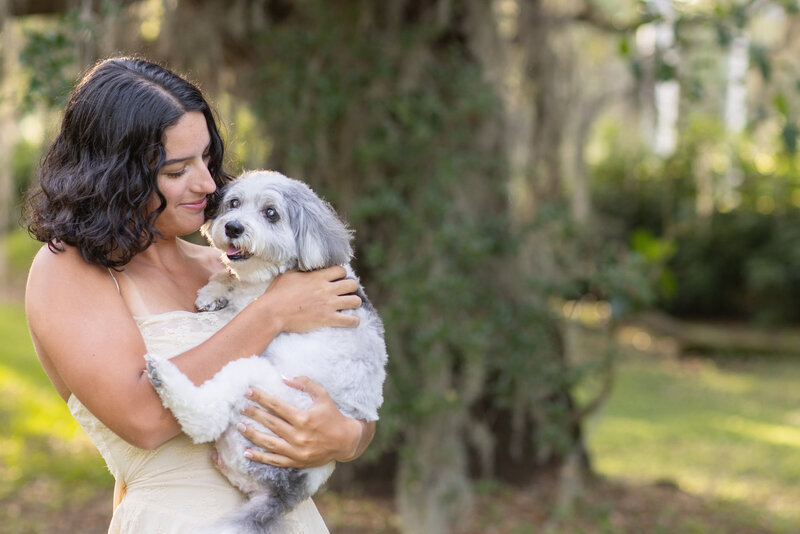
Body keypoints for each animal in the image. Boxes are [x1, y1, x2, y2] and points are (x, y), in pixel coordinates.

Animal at [147, 171, 390, 534]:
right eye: (233, 203)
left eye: (271, 213)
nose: (233, 227)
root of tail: (283, 493)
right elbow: (226, 275)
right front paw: (213, 292)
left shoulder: (253, 309)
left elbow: (238, 303)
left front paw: (221, 292)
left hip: (259, 383)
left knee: (206, 421)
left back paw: (165, 377)